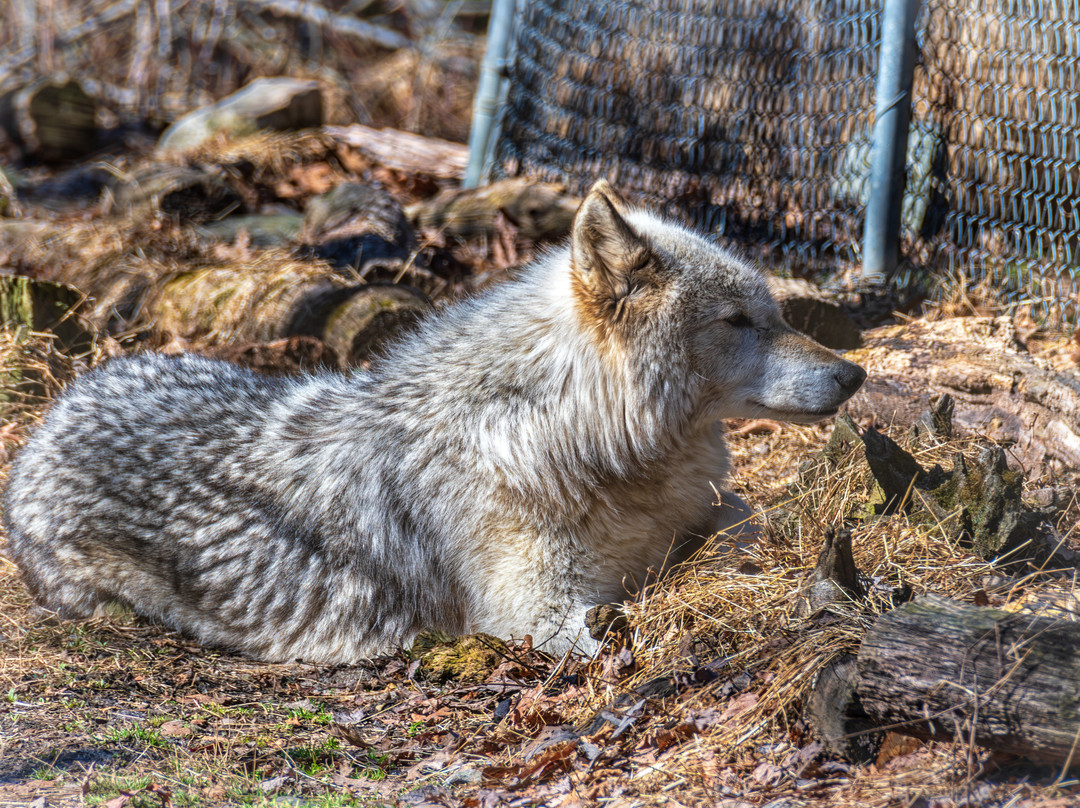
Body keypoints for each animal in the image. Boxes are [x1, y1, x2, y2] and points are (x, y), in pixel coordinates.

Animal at [2, 181, 865, 664]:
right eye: (739, 321)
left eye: (774, 313)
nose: (855, 375)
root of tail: (58, 409)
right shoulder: (535, 616)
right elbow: (621, 626)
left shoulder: (694, 511)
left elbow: (744, 516)